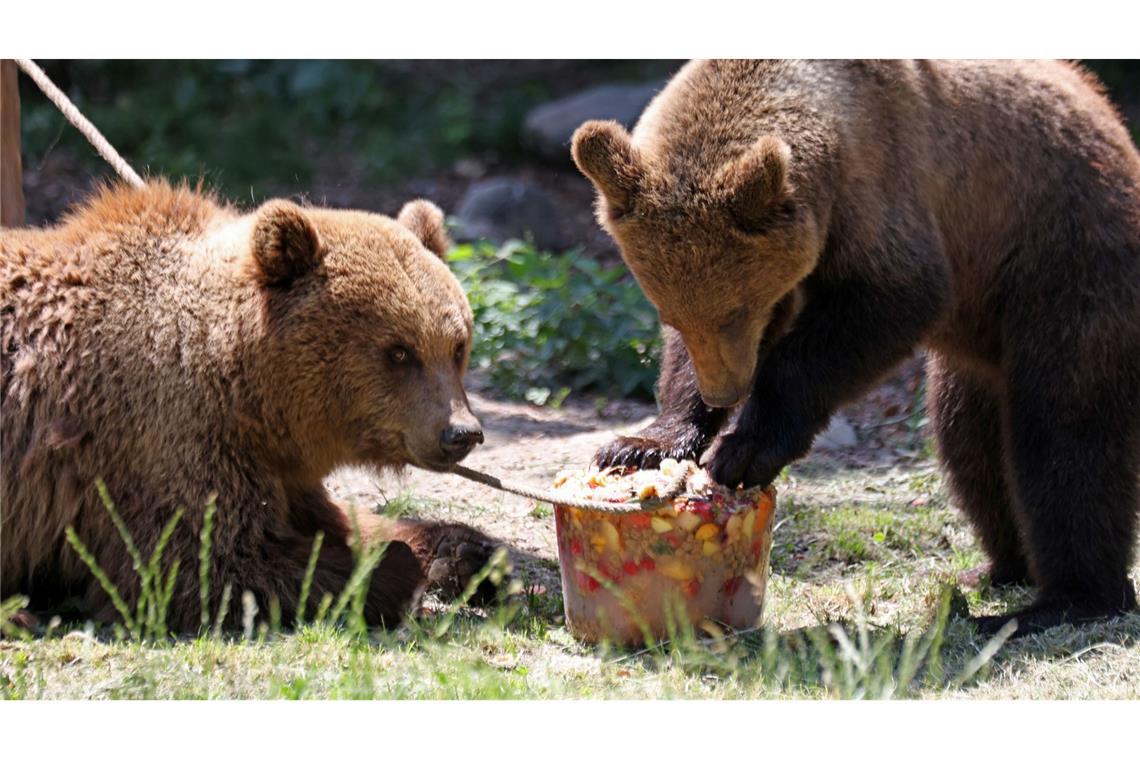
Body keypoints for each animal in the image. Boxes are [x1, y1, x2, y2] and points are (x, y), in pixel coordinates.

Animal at [1, 180, 501, 632]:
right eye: (399, 352)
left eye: (457, 346)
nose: (462, 432)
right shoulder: (164, 438)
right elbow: (204, 566)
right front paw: (394, 570)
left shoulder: (280, 465)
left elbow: (339, 519)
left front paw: (469, 552)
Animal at [572, 59, 1140, 635]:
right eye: (670, 314)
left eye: (736, 311)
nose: (723, 392)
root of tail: (1111, 121)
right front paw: (641, 444)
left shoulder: (884, 189)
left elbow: (886, 305)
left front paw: (743, 450)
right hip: (982, 344)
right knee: (969, 443)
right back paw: (998, 569)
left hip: (1059, 257)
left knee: (1064, 434)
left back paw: (1065, 599)